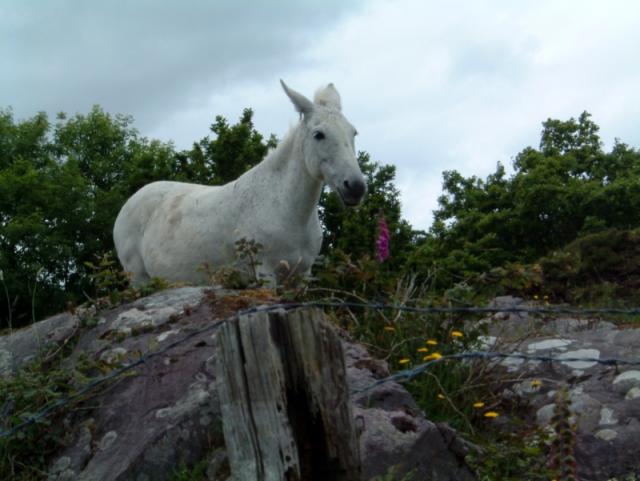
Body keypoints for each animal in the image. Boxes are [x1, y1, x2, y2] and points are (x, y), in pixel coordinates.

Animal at [113, 81, 367, 286]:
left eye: (353, 132)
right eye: (319, 135)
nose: (355, 187)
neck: (283, 207)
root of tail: (131, 200)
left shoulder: (301, 275)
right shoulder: (264, 273)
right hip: (138, 279)